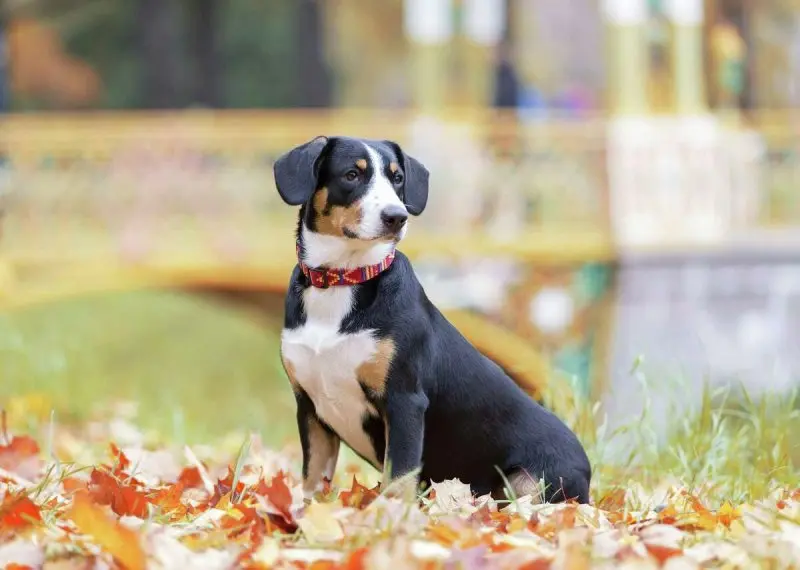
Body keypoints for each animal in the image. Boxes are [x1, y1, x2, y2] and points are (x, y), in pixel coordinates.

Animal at [276, 135, 592, 504]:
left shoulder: (404, 401)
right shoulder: (311, 408)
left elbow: (398, 478)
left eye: (398, 179)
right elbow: (313, 479)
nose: (396, 217)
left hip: (529, 482)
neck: (342, 281)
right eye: (352, 174)